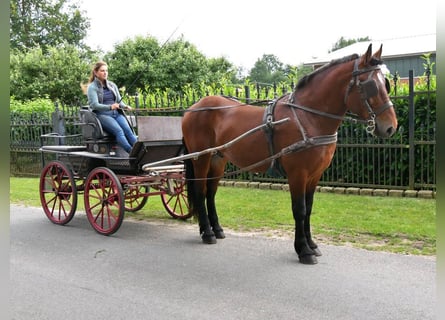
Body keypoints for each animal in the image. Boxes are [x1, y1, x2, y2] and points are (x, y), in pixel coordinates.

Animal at [182, 45, 398, 264]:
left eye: (386, 84)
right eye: (371, 85)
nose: (390, 127)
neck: (308, 117)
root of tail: (193, 107)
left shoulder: (315, 174)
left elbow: (309, 208)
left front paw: (312, 245)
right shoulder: (298, 173)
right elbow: (299, 210)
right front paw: (304, 250)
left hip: (218, 158)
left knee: (210, 193)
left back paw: (216, 229)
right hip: (201, 158)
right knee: (200, 191)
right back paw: (207, 233)